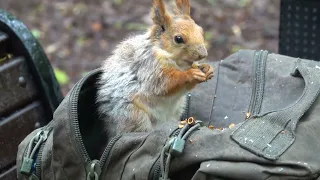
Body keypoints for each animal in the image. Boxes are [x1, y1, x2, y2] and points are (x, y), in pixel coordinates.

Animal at [96, 0, 214, 138]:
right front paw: (190, 74)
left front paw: (207, 68)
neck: (179, 63)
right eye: (178, 39)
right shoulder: (149, 67)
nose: (203, 54)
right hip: (133, 115)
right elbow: (163, 84)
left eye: (201, 31)